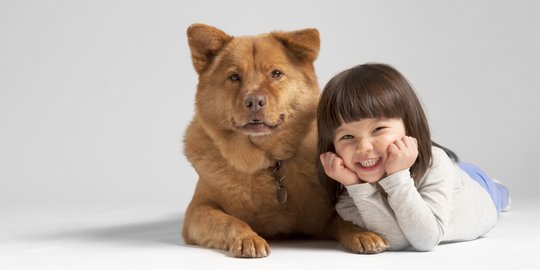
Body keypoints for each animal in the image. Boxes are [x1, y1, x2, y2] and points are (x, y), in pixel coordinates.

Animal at [182, 23, 388, 258]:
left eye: (276, 73)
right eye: (234, 77)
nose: (254, 101)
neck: (265, 162)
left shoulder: (323, 218)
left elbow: (345, 221)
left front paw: (363, 233)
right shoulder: (197, 211)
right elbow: (231, 221)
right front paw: (247, 238)